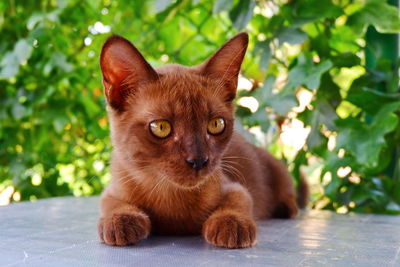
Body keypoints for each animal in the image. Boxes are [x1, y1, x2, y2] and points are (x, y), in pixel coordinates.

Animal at [97, 33, 306, 249]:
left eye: (216, 124)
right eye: (161, 127)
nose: (198, 161)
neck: (171, 199)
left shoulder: (234, 187)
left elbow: (237, 202)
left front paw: (232, 225)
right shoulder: (112, 191)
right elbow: (113, 204)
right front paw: (121, 221)